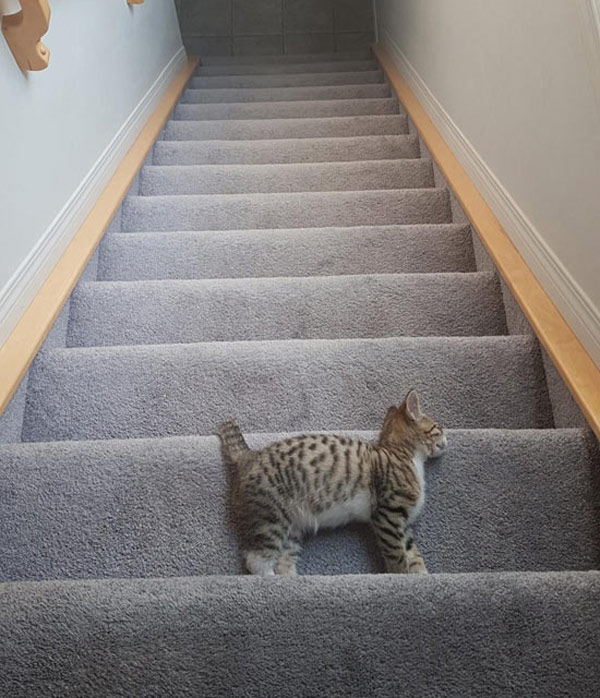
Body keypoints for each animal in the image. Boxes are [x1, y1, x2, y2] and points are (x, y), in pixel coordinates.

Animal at [216, 388, 446, 572]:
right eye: (438, 428)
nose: (446, 440)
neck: (401, 453)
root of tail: (250, 455)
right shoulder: (388, 514)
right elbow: (397, 555)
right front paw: (402, 576)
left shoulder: (402, 524)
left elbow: (413, 554)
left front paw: (422, 576)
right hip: (271, 517)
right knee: (256, 560)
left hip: (291, 528)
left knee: (283, 560)